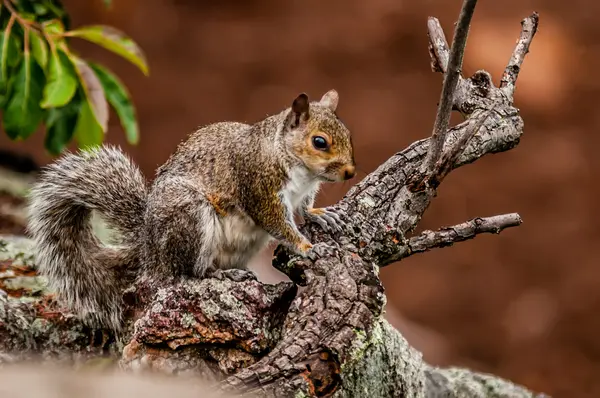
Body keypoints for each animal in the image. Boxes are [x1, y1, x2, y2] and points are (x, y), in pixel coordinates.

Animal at [27, 88, 356, 332]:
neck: (296, 165)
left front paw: (320, 214)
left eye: (348, 134)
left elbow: (305, 207)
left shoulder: (302, 191)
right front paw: (308, 247)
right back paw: (220, 275)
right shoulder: (259, 186)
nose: (351, 172)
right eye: (319, 142)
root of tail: (149, 251)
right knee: (188, 272)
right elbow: (278, 223)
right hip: (191, 216)